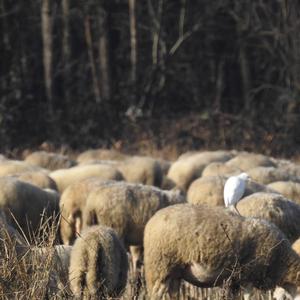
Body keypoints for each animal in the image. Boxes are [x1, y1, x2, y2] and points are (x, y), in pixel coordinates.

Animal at [142, 203, 300, 298]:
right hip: (160, 267)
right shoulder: (248, 276)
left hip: (174, 272)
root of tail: (152, 221)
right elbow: (249, 297)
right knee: (156, 294)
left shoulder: (236, 280)